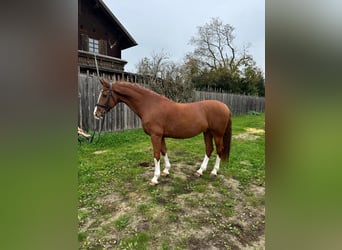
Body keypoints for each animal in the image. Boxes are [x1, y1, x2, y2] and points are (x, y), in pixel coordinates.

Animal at [94, 79, 232, 185]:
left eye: (105, 95)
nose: (96, 114)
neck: (150, 105)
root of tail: (225, 106)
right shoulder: (161, 136)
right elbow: (164, 151)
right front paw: (166, 171)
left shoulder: (155, 136)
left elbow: (156, 155)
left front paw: (155, 178)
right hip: (207, 132)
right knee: (209, 149)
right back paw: (200, 171)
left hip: (217, 134)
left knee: (219, 150)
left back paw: (214, 172)